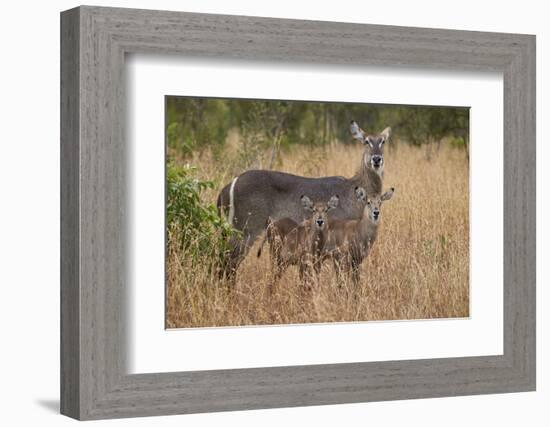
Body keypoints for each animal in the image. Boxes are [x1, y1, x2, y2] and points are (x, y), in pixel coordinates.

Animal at [218, 121, 390, 280]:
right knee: (227, 263)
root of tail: (229, 186)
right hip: (245, 230)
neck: (353, 191)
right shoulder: (337, 248)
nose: (376, 159)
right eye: (366, 141)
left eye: (383, 141)